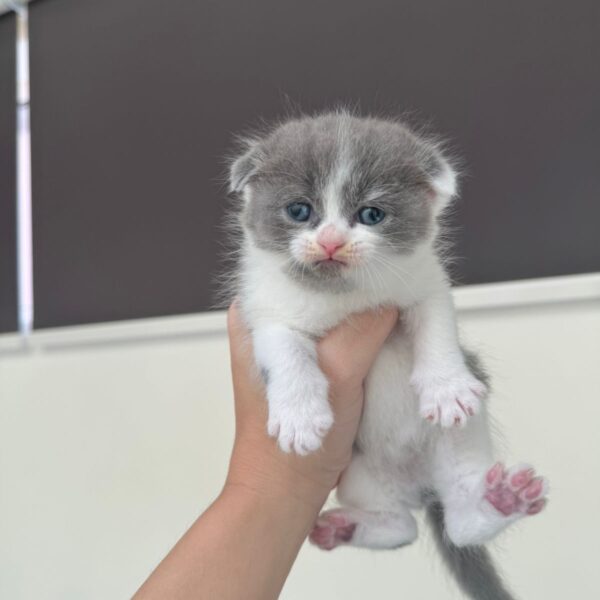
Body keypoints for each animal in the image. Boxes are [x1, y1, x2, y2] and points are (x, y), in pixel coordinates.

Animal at [227, 110, 548, 596]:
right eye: (300, 210)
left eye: (371, 214)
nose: (331, 241)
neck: (342, 294)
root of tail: (418, 486)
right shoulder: (265, 313)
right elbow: (286, 351)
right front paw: (300, 416)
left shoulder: (425, 284)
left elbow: (436, 325)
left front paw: (446, 389)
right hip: (357, 471)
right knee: (401, 526)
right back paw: (351, 527)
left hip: (457, 442)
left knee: (460, 521)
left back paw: (497, 500)